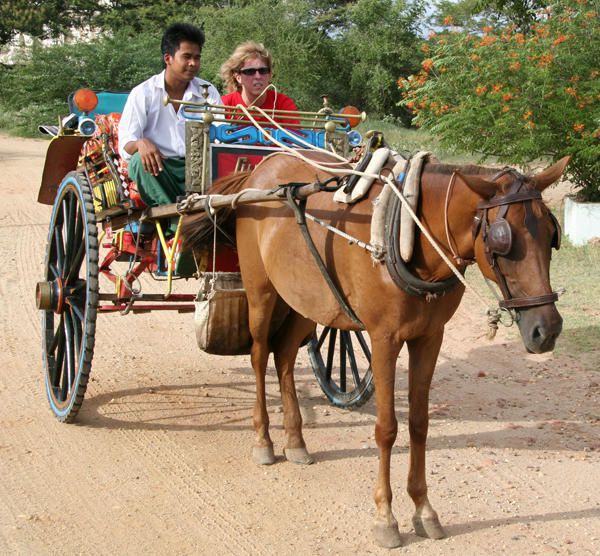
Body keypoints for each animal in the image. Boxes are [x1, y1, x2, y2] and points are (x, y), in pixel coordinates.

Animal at [182, 151, 568, 548]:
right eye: (503, 241)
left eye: (551, 235)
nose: (547, 329)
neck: (411, 233)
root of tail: (260, 170)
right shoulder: (384, 338)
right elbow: (387, 428)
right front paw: (386, 517)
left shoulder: (430, 337)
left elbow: (419, 423)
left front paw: (424, 510)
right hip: (262, 290)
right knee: (260, 356)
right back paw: (263, 440)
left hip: (308, 300)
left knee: (285, 356)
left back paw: (295, 440)